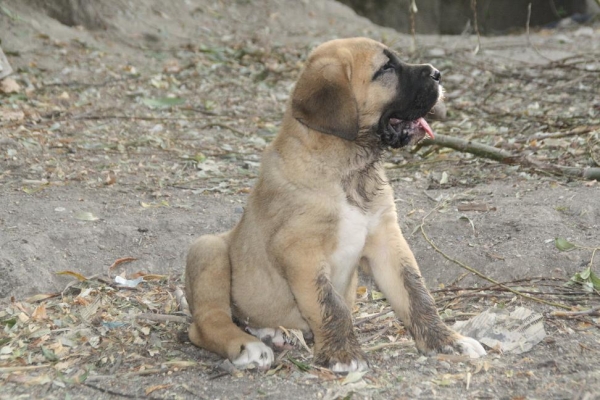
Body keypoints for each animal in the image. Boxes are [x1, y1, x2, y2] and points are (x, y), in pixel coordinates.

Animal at [185, 37, 486, 372]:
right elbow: (329, 304)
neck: (350, 169)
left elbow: (416, 294)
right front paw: (344, 354)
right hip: (207, 248)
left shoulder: (386, 238)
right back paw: (247, 346)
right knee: (206, 322)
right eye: (386, 68)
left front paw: (447, 340)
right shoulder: (299, 251)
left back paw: (271, 331)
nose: (437, 73)